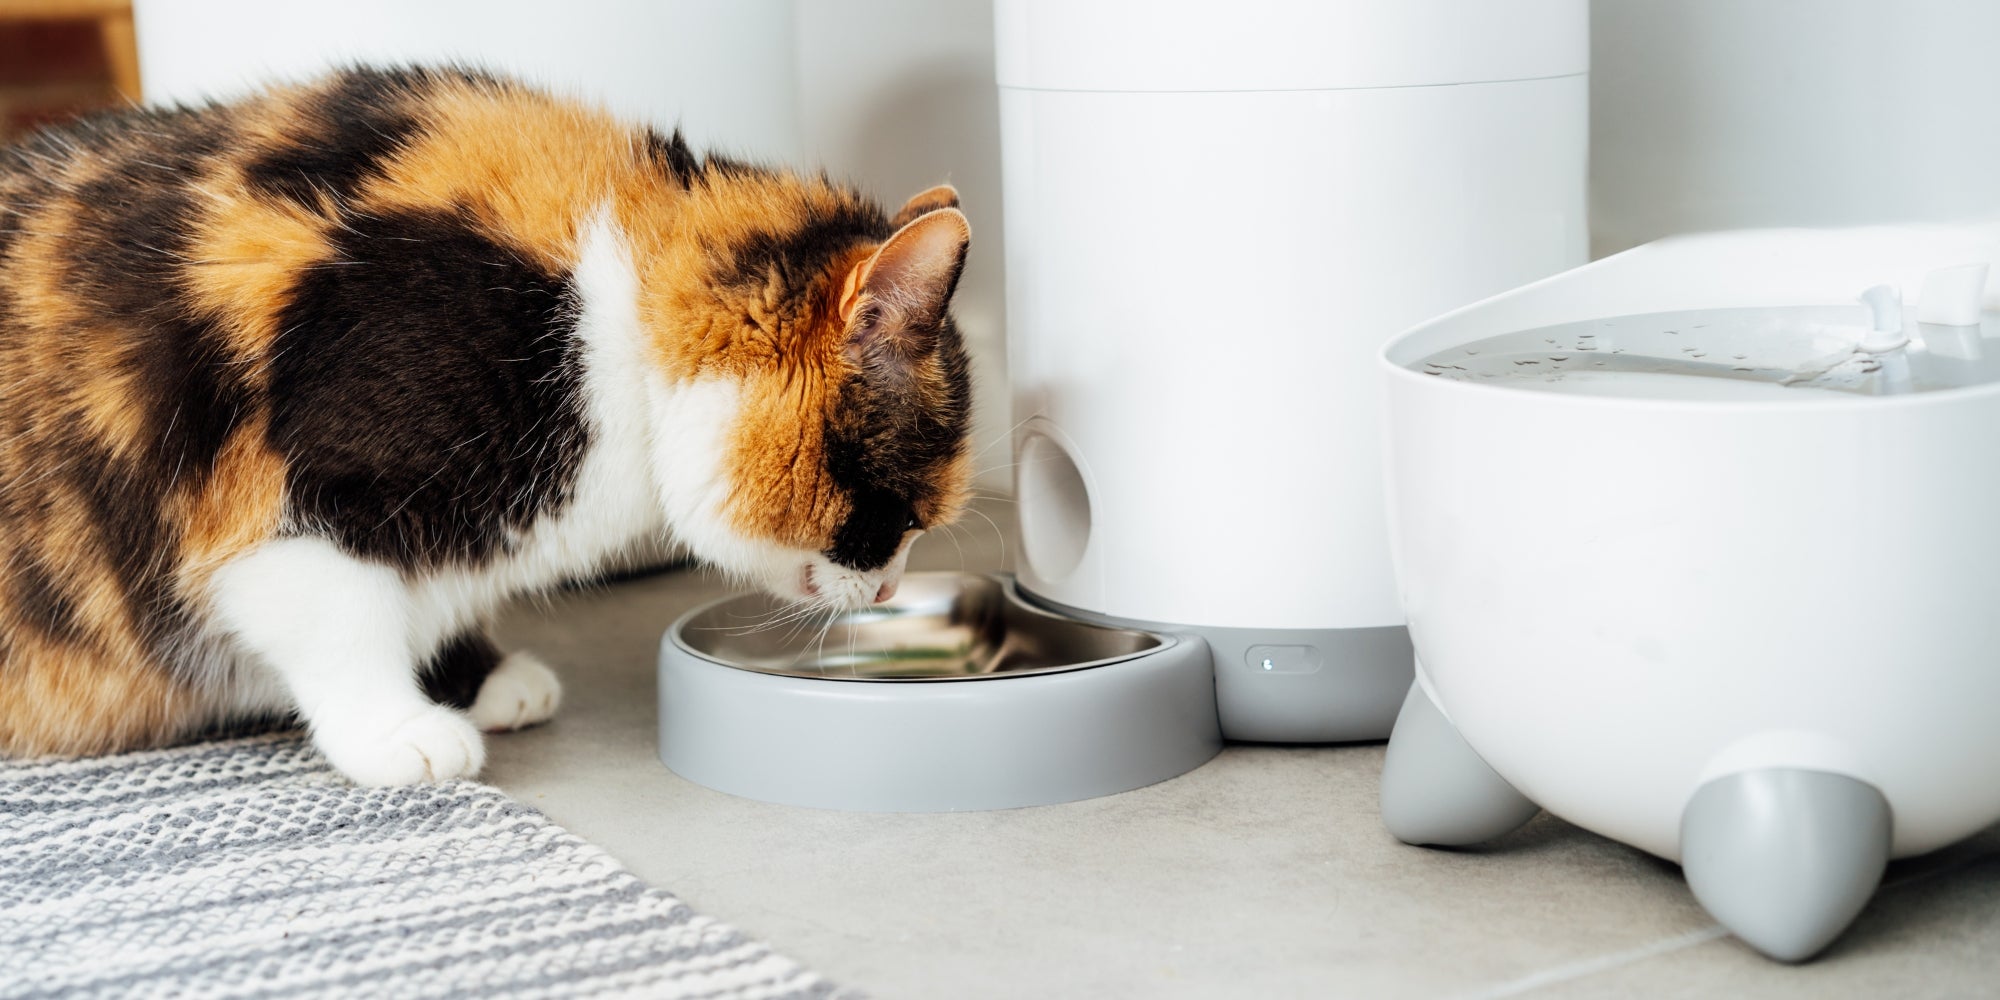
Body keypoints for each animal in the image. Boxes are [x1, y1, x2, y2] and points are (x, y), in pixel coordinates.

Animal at [0, 68, 976, 788]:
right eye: (900, 513)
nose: (891, 587)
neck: (599, 313)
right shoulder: (294, 502)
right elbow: (340, 616)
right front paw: (397, 730)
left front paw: (478, 677)